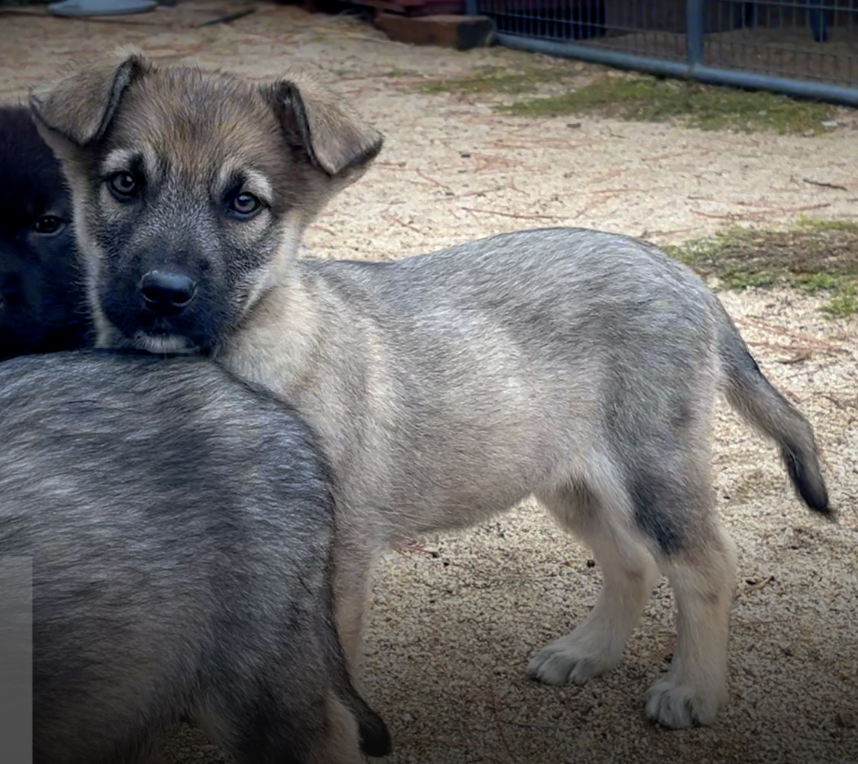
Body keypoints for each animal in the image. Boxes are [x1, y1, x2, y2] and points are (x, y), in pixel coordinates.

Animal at [31, 53, 828, 728]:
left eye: (244, 204)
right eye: (124, 183)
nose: (163, 292)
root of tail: (685, 276)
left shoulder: (335, 566)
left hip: (653, 470)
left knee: (705, 565)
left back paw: (693, 688)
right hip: (569, 477)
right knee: (629, 560)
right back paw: (587, 652)